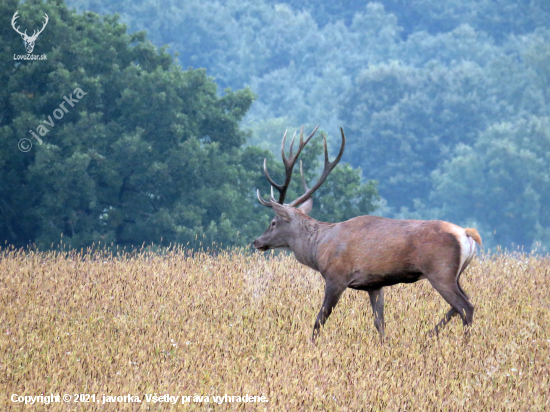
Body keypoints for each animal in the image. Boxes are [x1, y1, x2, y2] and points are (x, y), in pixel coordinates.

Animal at [254, 126, 484, 342]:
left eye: (273, 222)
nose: (257, 241)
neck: (318, 248)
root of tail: (466, 234)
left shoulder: (336, 276)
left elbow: (320, 319)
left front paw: (311, 344)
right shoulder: (374, 284)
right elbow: (379, 323)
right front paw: (384, 345)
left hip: (440, 270)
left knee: (465, 306)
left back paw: (464, 344)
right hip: (455, 274)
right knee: (461, 304)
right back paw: (428, 336)